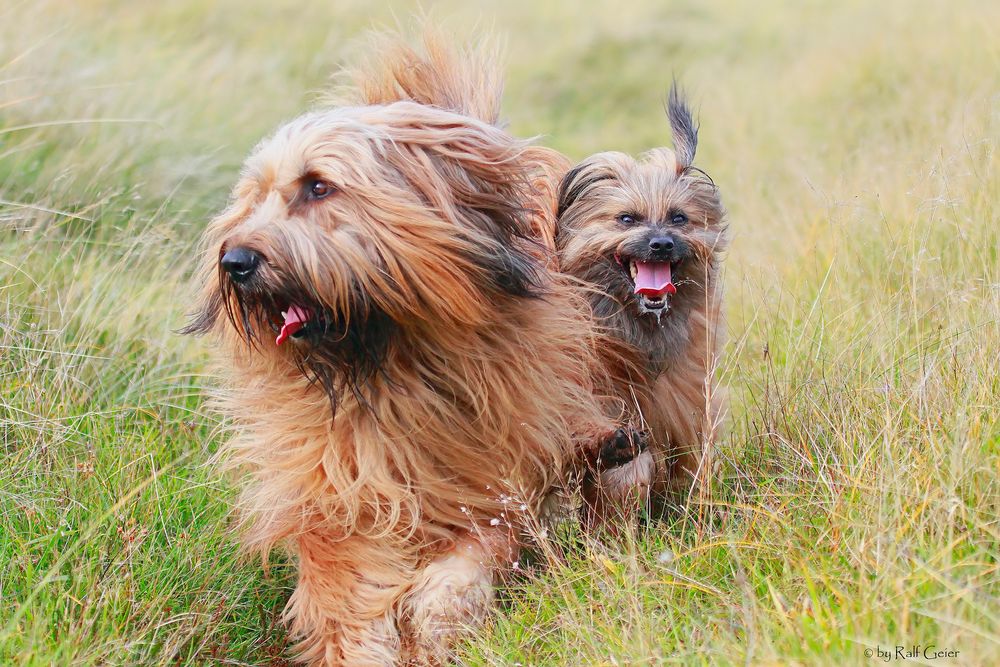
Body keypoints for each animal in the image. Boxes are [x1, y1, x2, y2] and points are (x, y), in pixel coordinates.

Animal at [183, 34, 620, 664]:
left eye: (318, 185)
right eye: (255, 197)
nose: (235, 261)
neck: (393, 367)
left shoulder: (492, 470)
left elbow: (474, 551)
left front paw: (438, 621)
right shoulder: (338, 489)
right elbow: (344, 584)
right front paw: (366, 645)